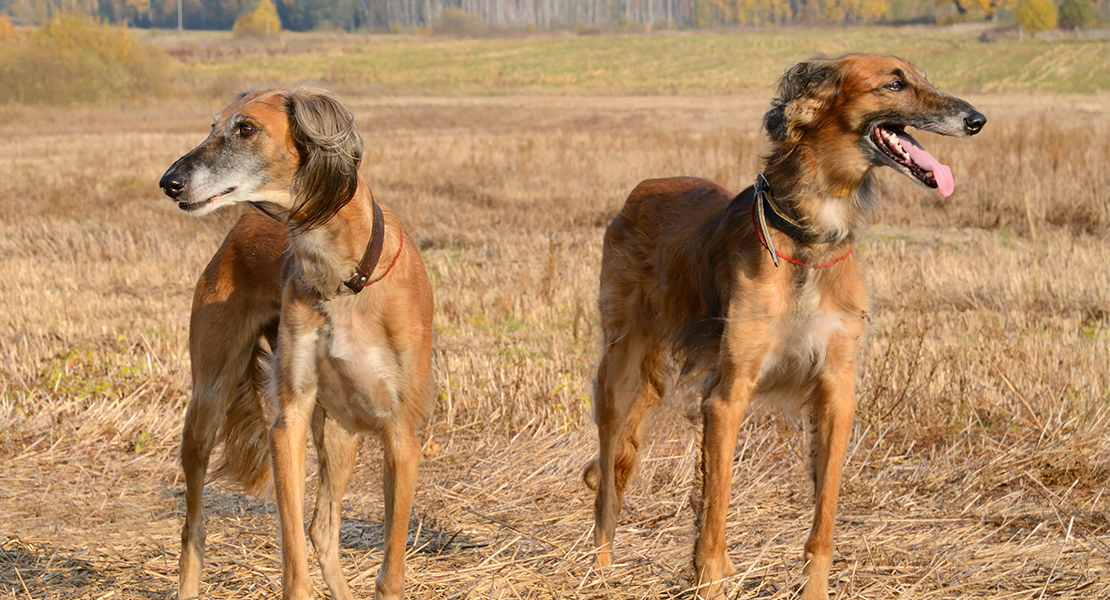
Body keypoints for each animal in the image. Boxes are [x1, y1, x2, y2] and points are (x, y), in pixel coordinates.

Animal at [586, 53, 985, 594]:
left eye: (924, 77)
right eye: (895, 83)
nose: (976, 120)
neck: (809, 238)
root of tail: (646, 186)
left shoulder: (837, 391)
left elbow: (823, 518)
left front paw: (812, 588)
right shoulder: (727, 396)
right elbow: (715, 513)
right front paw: (709, 582)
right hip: (621, 371)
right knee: (607, 483)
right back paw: (601, 570)